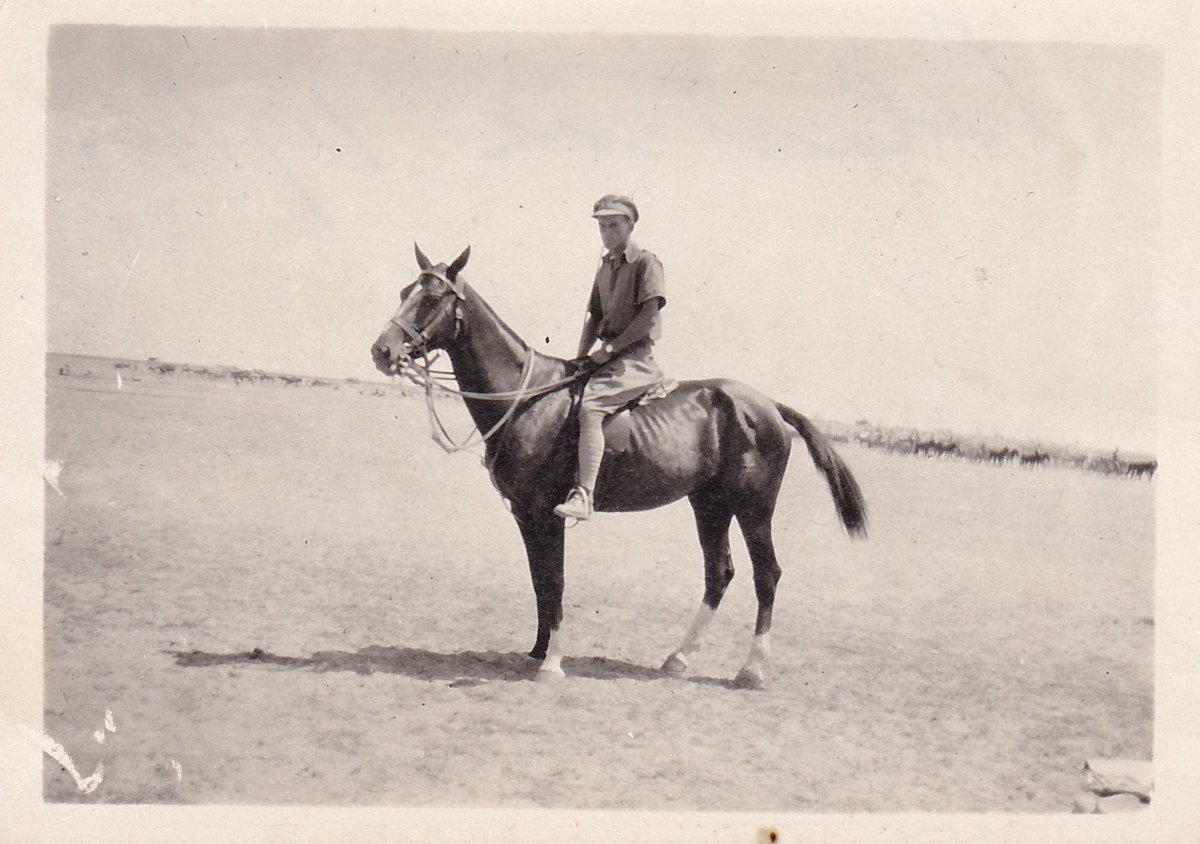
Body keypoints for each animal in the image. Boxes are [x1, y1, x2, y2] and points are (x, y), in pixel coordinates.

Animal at [371, 245, 867, 688]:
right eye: (404, 292)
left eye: (432, 298)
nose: (382, 351)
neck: (526, 397)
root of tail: (766, 405)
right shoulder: (525, 515)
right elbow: (539, 582)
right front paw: (537, 650)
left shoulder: (545, 514)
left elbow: (555, 582)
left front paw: (552, 662)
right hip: (709, 504)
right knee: (719, 573)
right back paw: (678, 658)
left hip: (753, 507)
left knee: (767, 575)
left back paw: (751, 669)